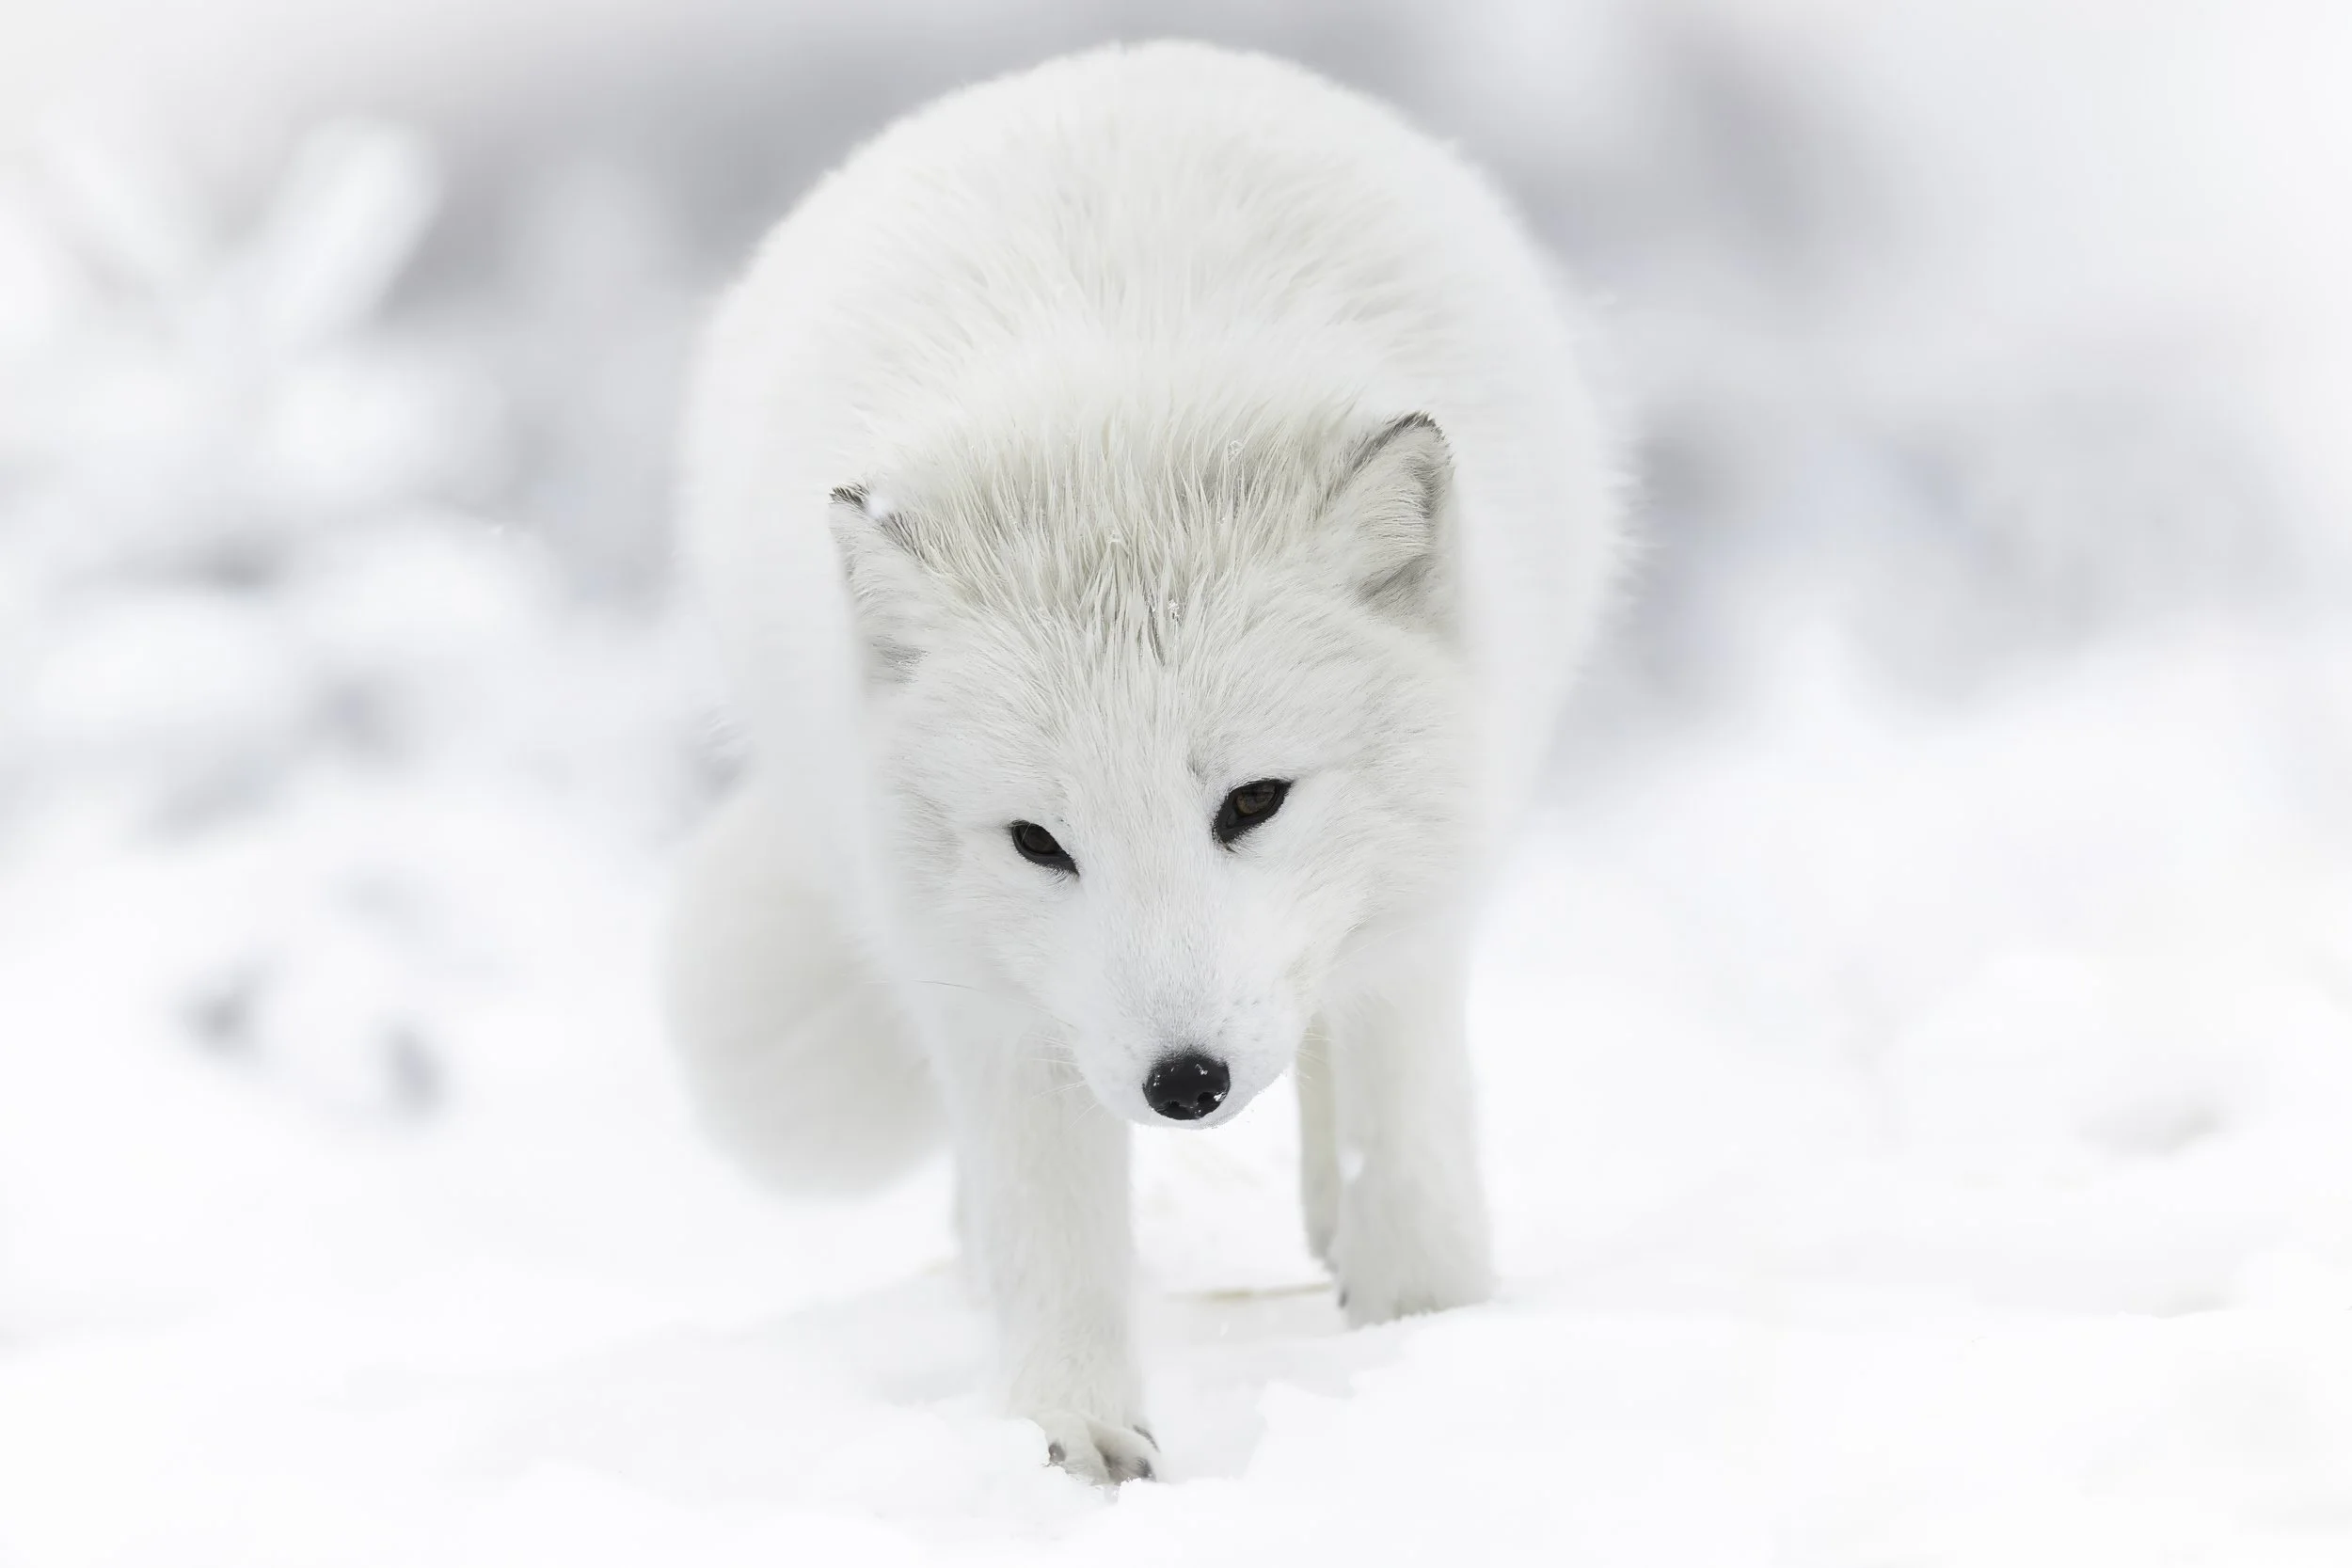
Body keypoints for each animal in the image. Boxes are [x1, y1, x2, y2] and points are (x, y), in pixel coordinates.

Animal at [664, 41, 1621, 1483]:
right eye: (1039, 840)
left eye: (1255, 800)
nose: (1186, 1083)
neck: (1122, 427)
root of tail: (1111, 58)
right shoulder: (996, 1008)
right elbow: (1053, 1228)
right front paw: (1069, 1439)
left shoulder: (1419, 927)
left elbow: (1402, 1144)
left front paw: (1423, 1339)